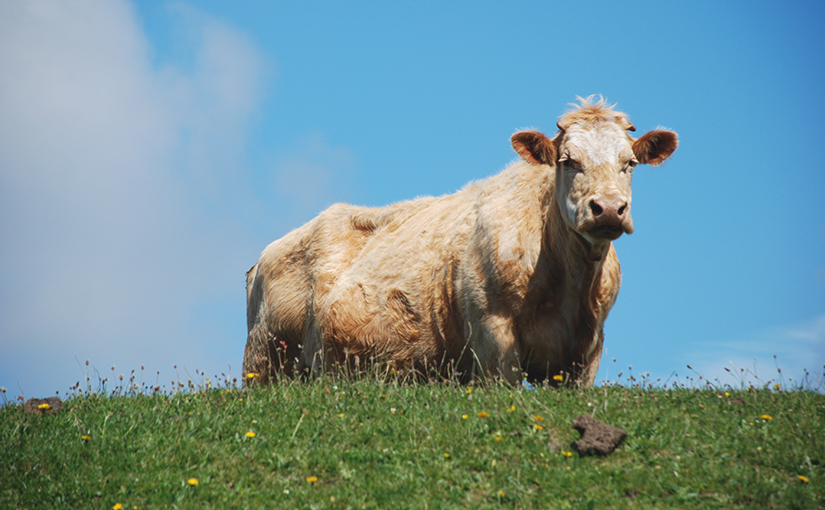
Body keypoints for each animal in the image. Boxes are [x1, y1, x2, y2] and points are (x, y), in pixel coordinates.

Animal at [243, 95, 676, 384]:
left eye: (630, 163)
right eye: (568, 161)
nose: (608, 209)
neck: (570, 287)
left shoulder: (587, 353)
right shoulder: (493, 340)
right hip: (264, 358)